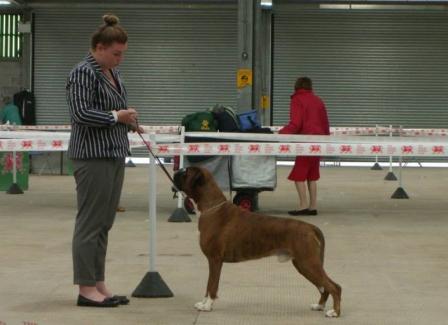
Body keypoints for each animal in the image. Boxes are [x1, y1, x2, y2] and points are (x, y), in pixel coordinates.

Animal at [173, 167, 342, 316]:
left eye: (185, 172)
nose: (175, 171)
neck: (212, 207)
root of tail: (311, 227)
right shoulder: (214, 261)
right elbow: (208, 285)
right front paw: (203, 303)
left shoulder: (215, 260)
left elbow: (212, 285)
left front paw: (207, 305)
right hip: (303, 265)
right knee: (324, 287)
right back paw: (319, 306)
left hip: (308, 263)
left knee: (334, 287)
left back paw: (334, 312)